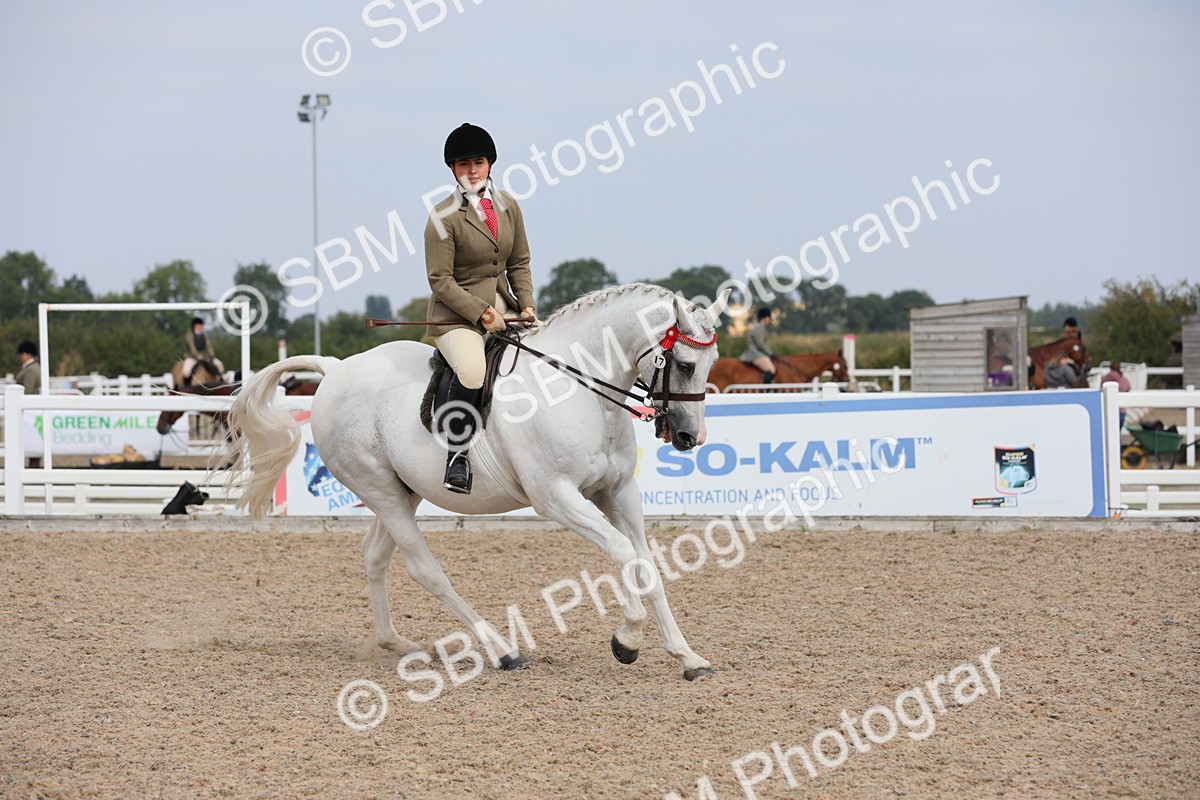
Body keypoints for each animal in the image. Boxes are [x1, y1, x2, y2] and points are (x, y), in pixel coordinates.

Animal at [226, 283, 729, 681]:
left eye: (714, 362)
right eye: (686, 365)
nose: (689, 437)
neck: (579, 392)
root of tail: (335, 369)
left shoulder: (619, 493)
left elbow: (648, 566)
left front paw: (687, 655)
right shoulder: (557, 497)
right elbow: (625, 554)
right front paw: (627, 640)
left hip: (401, 492)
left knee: (374, 556)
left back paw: (396, 643)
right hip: (378, 489)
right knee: (425, 569)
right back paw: (502, 651)